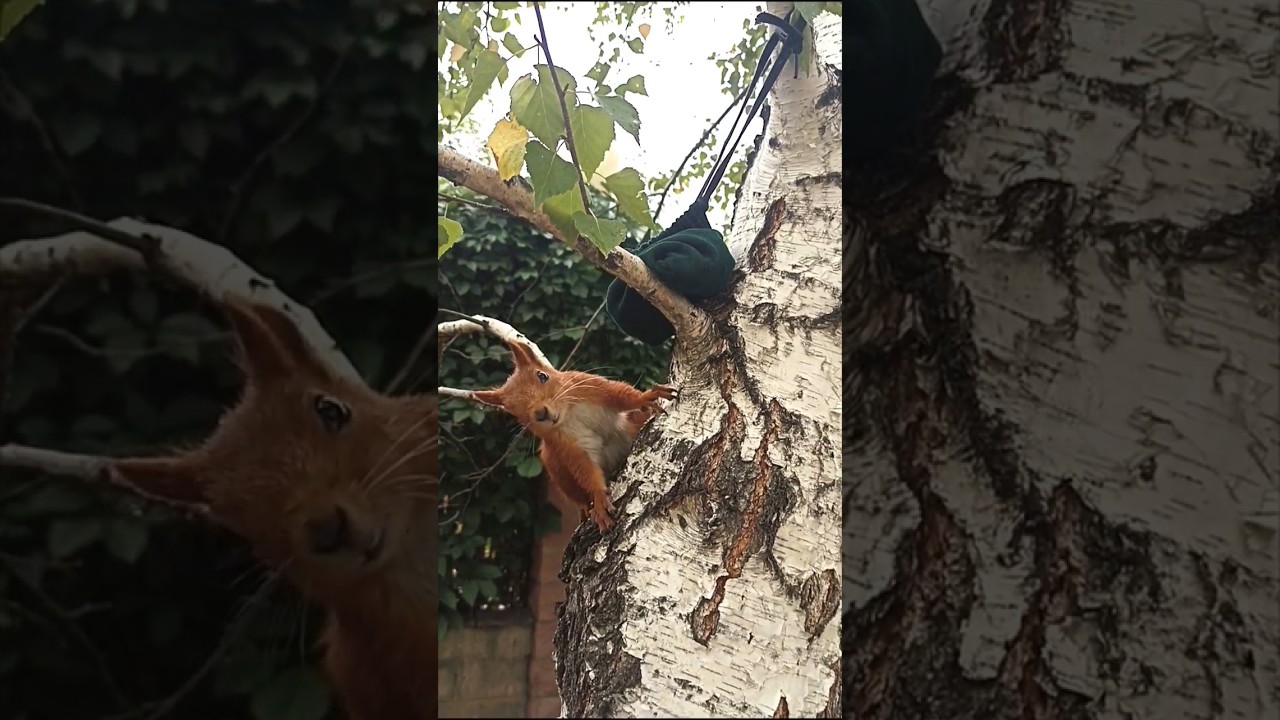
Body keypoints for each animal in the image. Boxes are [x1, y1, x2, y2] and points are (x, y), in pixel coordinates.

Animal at [472, 340, 675, 532]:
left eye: (542, 376)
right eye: (512, 411)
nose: (540, 413)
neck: (568, 414)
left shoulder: (590, 386)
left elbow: (621, 395)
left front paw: (645, 397)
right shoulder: (566, 445)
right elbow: (585, 469)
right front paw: (599, 498)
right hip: (554, 464)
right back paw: (585, 508)